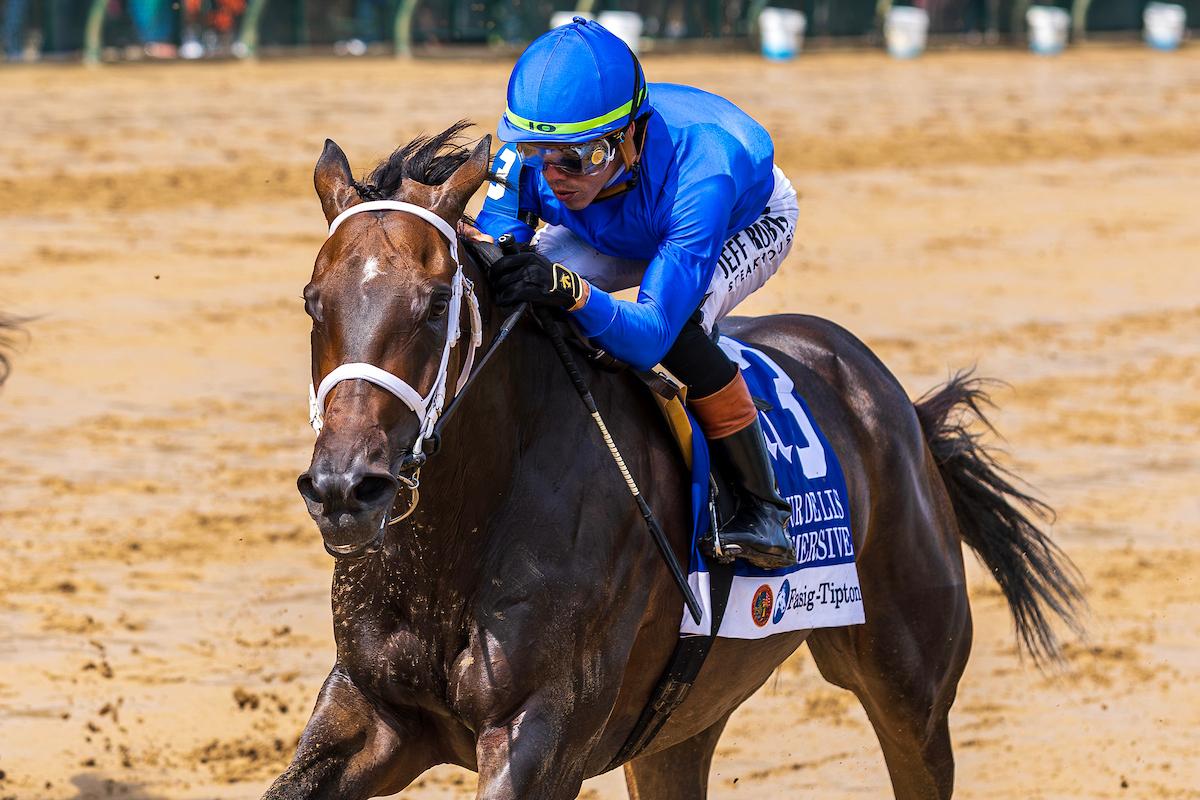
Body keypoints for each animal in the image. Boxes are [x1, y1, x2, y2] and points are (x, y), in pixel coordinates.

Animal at [265, 124, 1083, 800]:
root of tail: (898, 405)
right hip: (681, 725)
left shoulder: (541, 731)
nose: (345, 489)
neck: (460, 532)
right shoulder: (370, 711)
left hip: (912, 687)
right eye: (312, 300)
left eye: (437, 304)